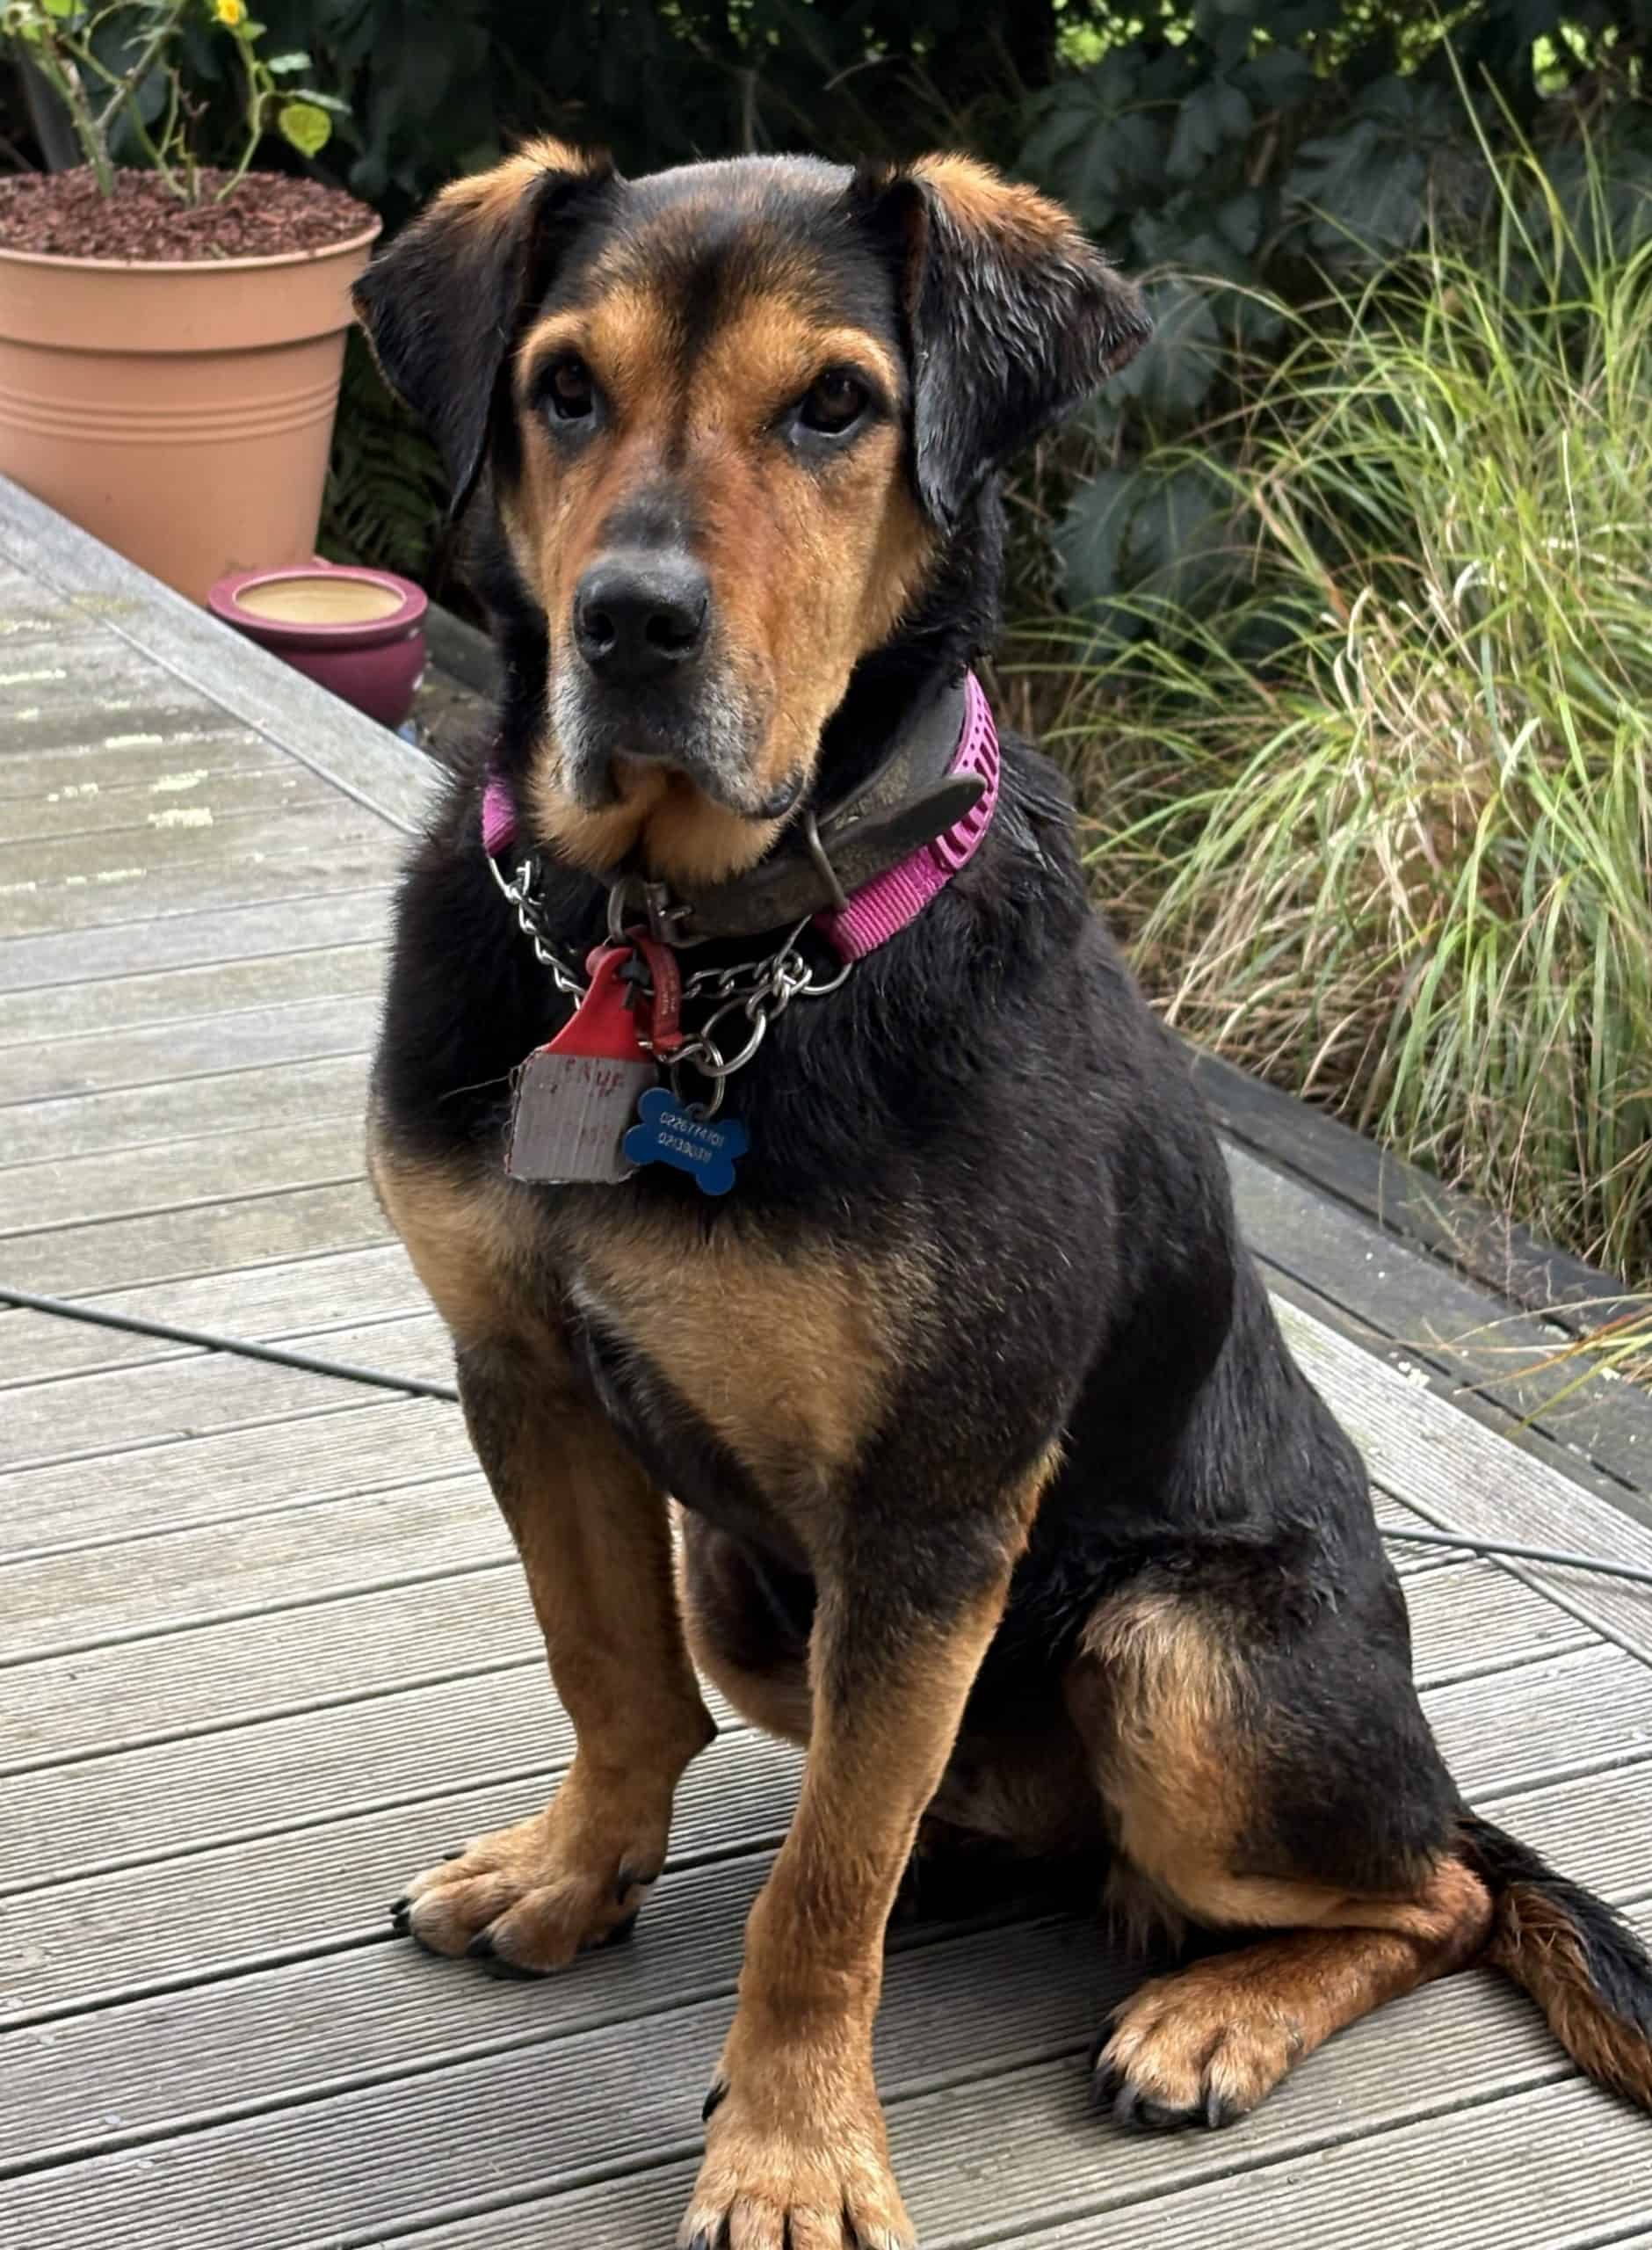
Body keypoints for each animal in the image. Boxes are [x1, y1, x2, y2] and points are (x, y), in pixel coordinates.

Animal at [352, 142, 1652, 2249]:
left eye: (835, 405)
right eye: (560, 387)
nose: (633, 626)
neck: (685, 953)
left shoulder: (937, 1501)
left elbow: (819, 1902)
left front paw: (793, 2149)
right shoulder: (526, 1373)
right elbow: (610, 1674)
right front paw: (575, 1870)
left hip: (1178, 1653)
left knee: (1435, 1889)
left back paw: (1209, 2011)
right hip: (757, 1590)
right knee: (930, 1796)